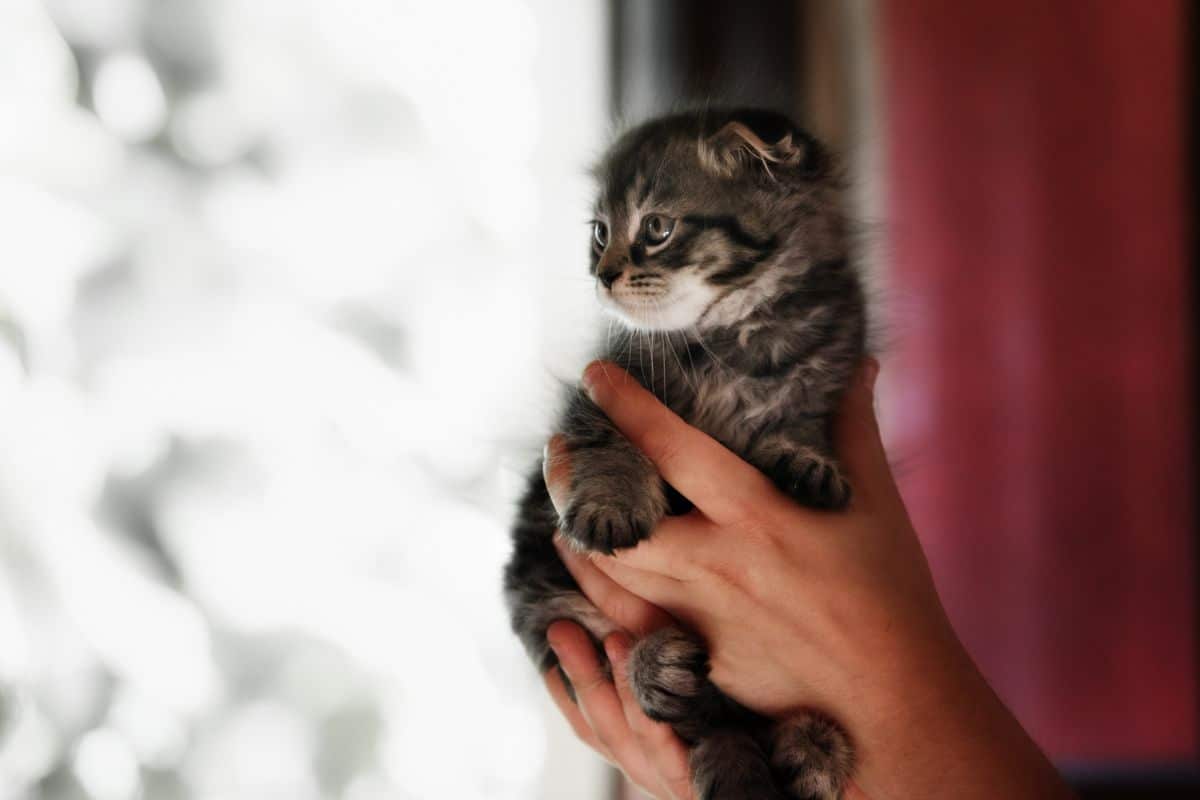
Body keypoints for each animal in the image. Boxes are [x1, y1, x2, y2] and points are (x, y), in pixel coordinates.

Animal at [504, 107, 864, 800]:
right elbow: (611, 446)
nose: (602, 274)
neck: (731, 337)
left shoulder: (825, 374)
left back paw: (812, 748)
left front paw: (807, 462)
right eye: (600, 233)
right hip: (545, 597)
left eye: (657, 229)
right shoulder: (600, 390)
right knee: (662, 690)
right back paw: (659, 669)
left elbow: (800, 424)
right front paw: (611, 506)